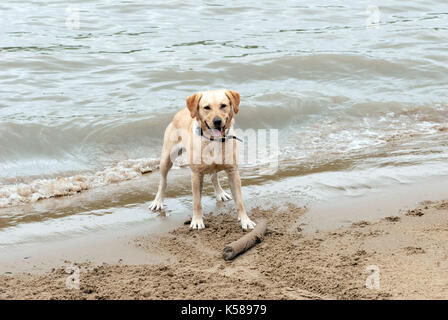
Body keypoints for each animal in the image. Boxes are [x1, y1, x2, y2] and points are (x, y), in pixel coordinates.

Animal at [150, 89, 256, 230]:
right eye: (206, 107)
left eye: (223, 105)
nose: (217, 121)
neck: (213, 140)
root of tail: (181, 111)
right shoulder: (196, 174)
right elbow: (197, 202)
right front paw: (197, 220)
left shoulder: (233, 171)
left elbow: (239, 201)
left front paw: (245, 220)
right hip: (166, 158)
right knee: (163, 181)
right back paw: (158, 201)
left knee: (213, 176)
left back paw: (220, 193)